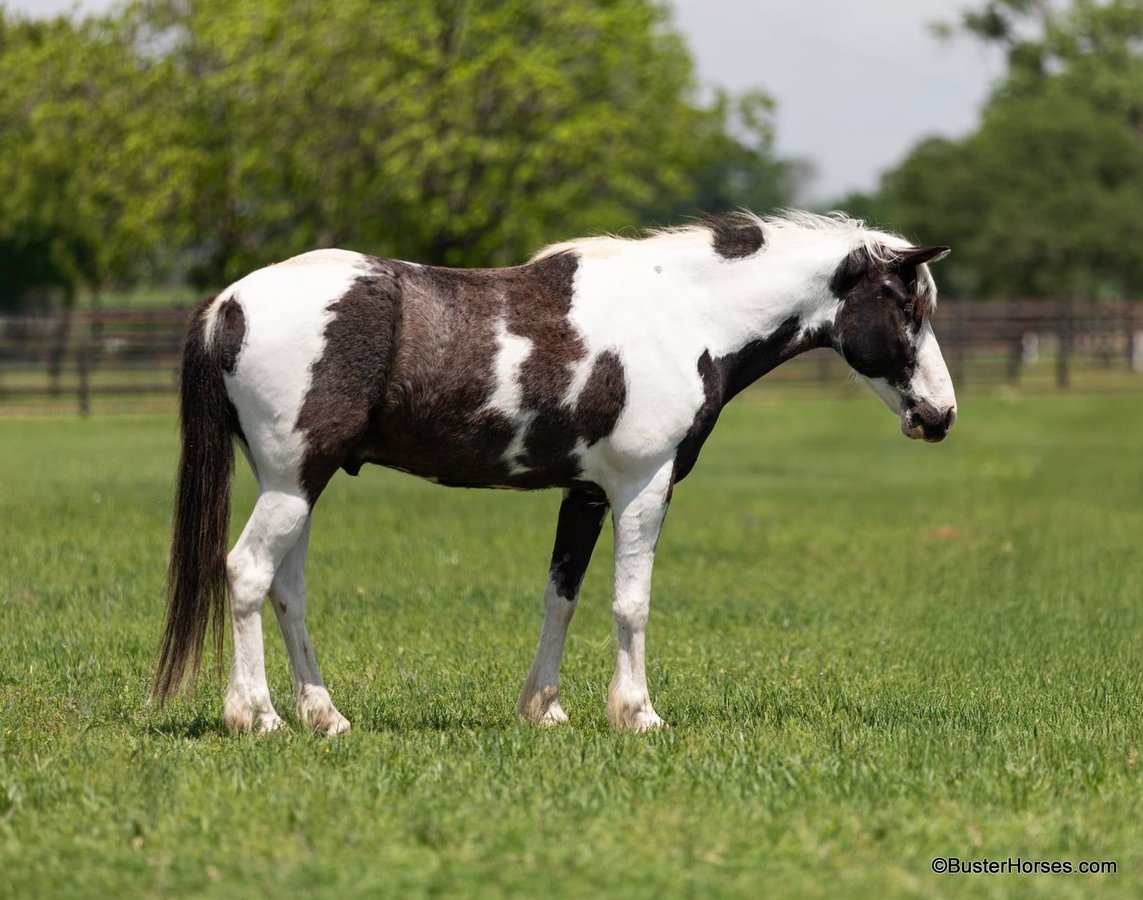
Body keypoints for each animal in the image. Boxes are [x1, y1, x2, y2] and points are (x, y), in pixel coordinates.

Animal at [151, 211, 956, 734]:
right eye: (904, 306)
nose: (940, 415)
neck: (684, 315)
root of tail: (228, 304)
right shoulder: (642, 488)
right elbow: (631, 604)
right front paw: (637, 714)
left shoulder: (586, 494)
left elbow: (559, 598)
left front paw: (546, 709)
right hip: (292, 483)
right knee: (247, 573)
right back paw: (256, 717)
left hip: (297, 483)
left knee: (288, 589)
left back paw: (325, 716)